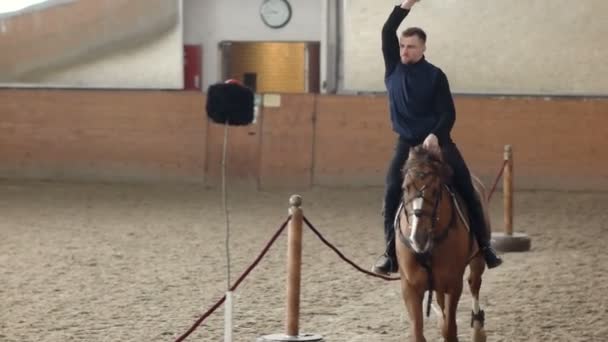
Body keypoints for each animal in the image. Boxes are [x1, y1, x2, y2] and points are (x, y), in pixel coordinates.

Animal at [394, 147, 490, 342]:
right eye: (405, 188)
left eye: (435, 190)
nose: (418, 237)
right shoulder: (410, 287)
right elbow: (418, 333)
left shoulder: (453, 284)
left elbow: (450, 329)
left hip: (477, 261)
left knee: (474, 283)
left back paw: (478, 329)